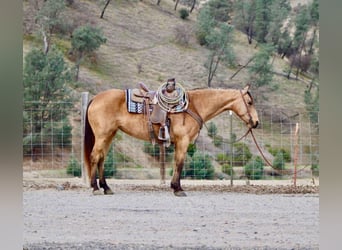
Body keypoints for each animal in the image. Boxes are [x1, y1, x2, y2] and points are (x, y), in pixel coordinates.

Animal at [84, 85, 258, 196]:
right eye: (249, 102)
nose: (256, 122)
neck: (193, 106)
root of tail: (95, 98)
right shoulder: (183, 141)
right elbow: (180, 164)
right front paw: (178, 189)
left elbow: (176, 164)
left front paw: (174, 186)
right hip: (103, 135)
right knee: (94, 157)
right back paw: (95, 188)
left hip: (109, 135)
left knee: (101, 159)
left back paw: (106, 187)